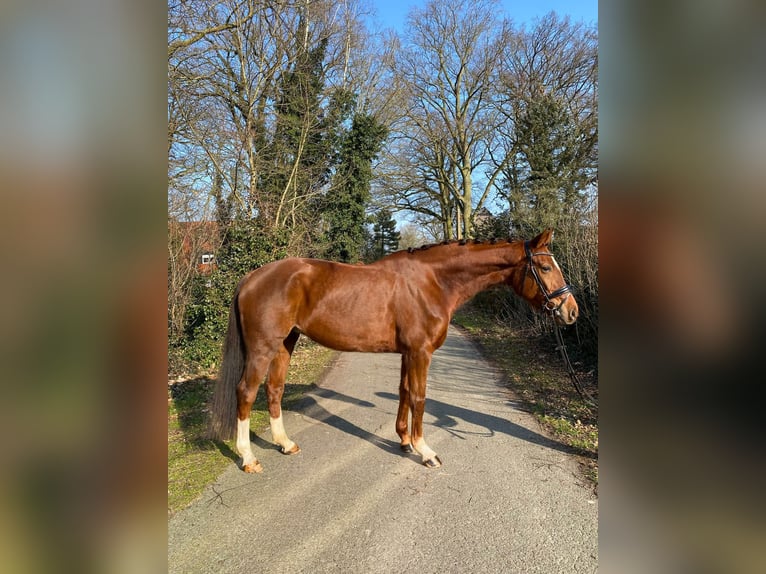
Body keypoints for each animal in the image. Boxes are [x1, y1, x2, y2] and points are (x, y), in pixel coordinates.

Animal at [207, 228, 580, 472]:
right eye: (545, 267)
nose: (572, 311)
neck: (433, 281)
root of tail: (252, 277)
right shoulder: (420, 353)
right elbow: (419, 397)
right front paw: (424, 450)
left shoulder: (407, 353)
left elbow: (403, 392)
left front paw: (403, 440)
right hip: (263, 348)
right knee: (246, 392)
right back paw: (249, 458)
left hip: (286, 343)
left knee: (274, 389)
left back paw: (285, 444)